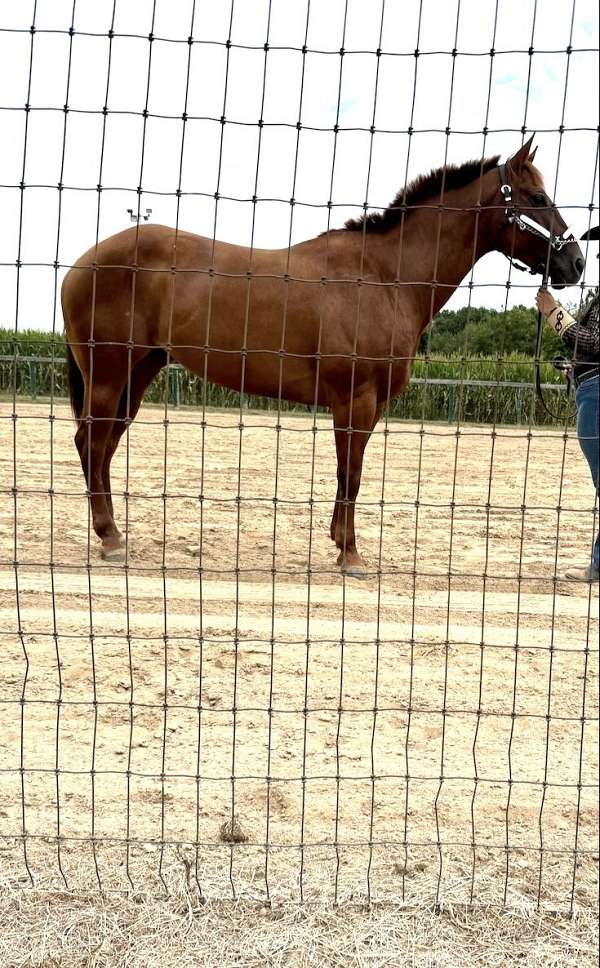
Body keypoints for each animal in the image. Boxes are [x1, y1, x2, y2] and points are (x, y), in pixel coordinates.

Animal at [61, 136, 584, 575]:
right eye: (537, 198)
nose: (575, 263)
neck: (385, 276)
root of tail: (80, 264)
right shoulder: (356, 400)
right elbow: (351, 473)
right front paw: (350, 554)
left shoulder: (365, 404)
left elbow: (347, 474)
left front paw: (339, 541)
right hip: (109, 376)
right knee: (91, 444)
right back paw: (110, 539)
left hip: (138, 373)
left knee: (102, 449)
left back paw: (113, 534)